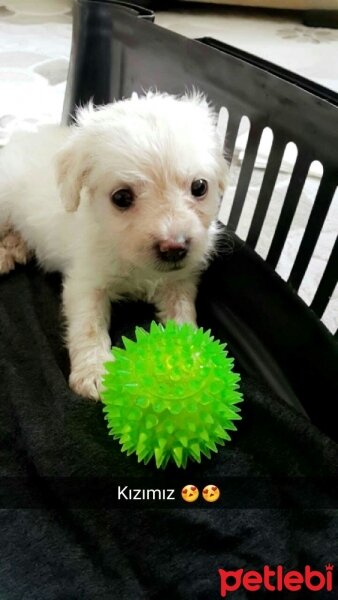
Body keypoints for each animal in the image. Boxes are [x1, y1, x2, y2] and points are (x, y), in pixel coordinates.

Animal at [0, 92, 227, 398]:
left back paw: (14, 249)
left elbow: (183, 315)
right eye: (121, 197)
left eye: (200, 187)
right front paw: (94, 372)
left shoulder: (180, 281)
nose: (174, 248)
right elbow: (88, 326)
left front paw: (193, 360)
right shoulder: (85, 283)